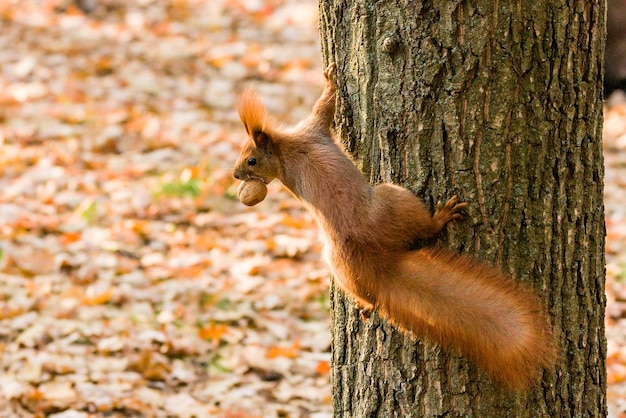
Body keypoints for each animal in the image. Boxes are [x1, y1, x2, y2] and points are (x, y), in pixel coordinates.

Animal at [233, 62, 556, 392]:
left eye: (250, 159)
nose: (235, 175)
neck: (284, 152)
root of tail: (380, 265)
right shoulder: (313, 132)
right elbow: (324, 107)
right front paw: (330, 81)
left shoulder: (309, 135)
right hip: (395, 199)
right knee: (424, 228)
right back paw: (441, 216)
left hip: (341, 268)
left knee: (366, 296)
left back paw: (364, 304)